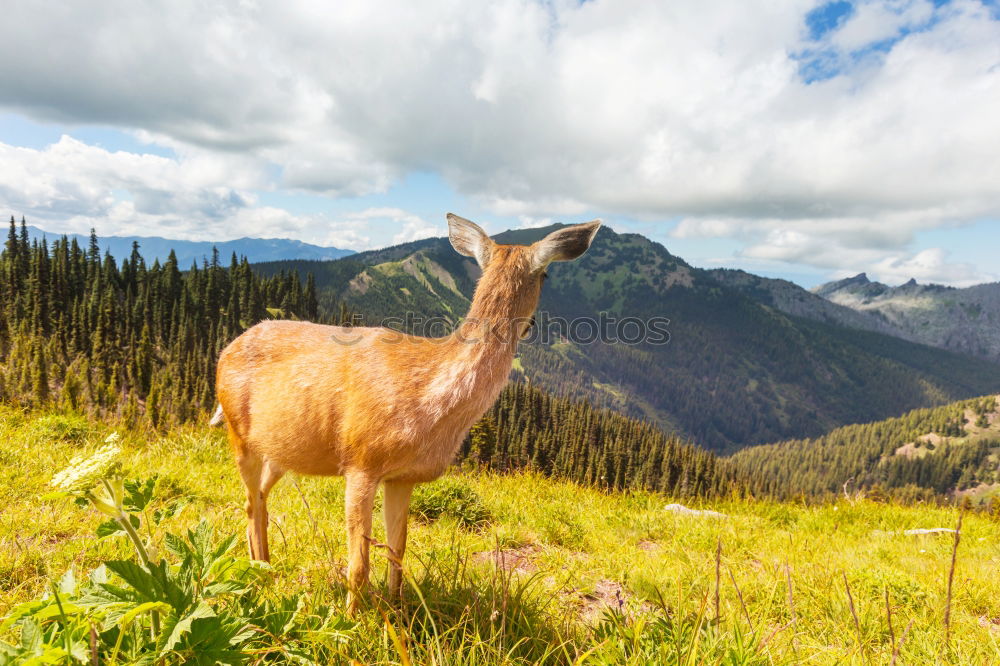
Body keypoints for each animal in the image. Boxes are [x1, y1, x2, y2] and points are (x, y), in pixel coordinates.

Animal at [212, 213, 600, 612]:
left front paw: (397, 611)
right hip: (238, 432)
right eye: (547, 274)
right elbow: (359, 564)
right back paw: (260, 574)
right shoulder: (360, 461)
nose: (533, 325)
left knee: (260, 498)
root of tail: (228, 348)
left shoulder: (403, 477)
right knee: (249, 501)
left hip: (280, 449)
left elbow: (398, 552)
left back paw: (264, 564)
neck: (428, 403)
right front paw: (349, 619)